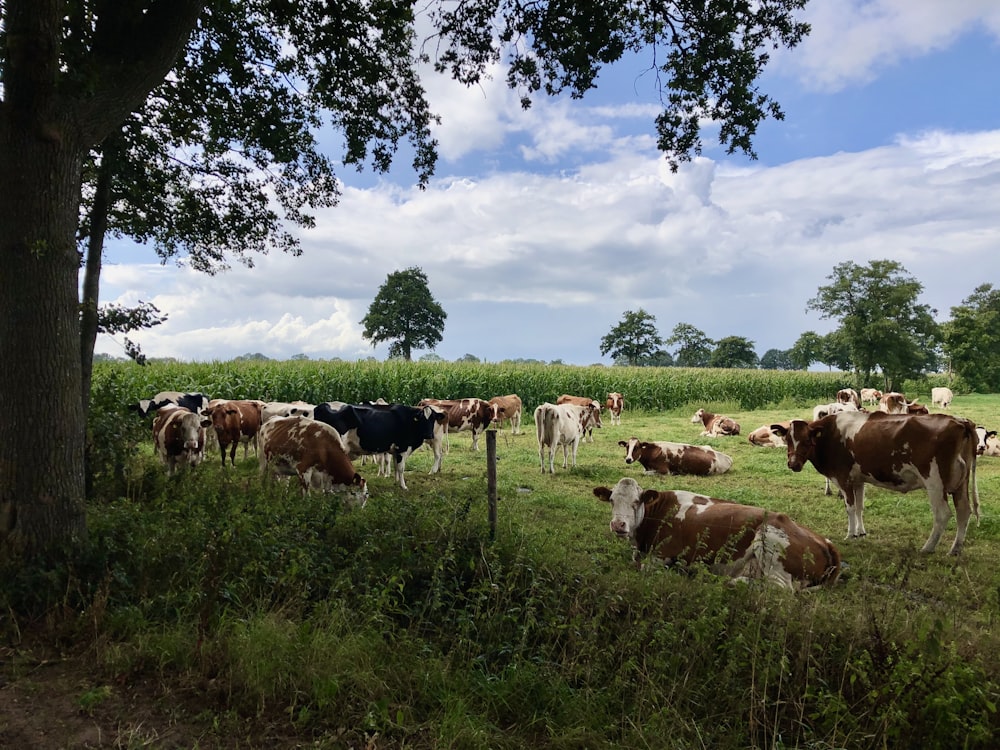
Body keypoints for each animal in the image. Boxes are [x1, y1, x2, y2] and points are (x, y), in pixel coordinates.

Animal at [312, 402, 446, 490]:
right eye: (422, 419)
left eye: (433, 419)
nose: (429, 434)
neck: (409, 421)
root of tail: (321, 406)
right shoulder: (402, 448)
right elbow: (401, 468)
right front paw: (403, 486)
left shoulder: (396, 450)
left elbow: (395, 466)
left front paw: (396, 482)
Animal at [592, 478, 844, 592]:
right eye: (611, 500)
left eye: (636, 502)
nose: (618, 525)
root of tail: (824, 540)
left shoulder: (662, 555)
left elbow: (644, 568)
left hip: (770, 543)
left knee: (781, 588)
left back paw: (733, 581)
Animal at [772, 414, 976, 556]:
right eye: (787, 440)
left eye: (807, 440)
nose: (793, 464)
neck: (830, 434)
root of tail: (959, 421)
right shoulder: (858, 480)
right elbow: (860, 506)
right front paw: (860, 532)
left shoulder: (843, 478)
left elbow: (850, 508)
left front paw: (850, 535)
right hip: (961, 484)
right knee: (964, 511)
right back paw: (955, 549)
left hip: (935, 482)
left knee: (942, 514)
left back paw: (928, 547)